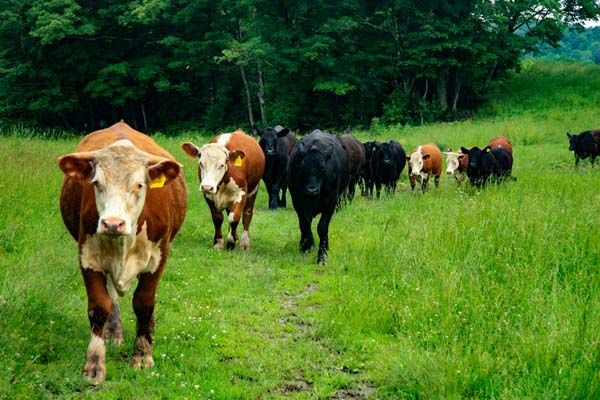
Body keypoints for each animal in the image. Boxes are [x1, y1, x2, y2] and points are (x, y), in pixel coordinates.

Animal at [57, 121, 188, 384]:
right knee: (112, 296)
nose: (112, 223)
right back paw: (113, 331)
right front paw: (94, 363)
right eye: (97, 183)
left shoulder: (158, 258)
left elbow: (144, 304)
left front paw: (143, 355)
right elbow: (99, 306)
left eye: (139, 184)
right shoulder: (87, 257)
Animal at [288, 129, 350, 266]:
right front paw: (306, 247)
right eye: (303, 167)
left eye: (322, 168)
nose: (312, 190)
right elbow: (305, 224)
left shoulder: (331, 202)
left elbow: (322, 227)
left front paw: (322, 255)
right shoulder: (297, 201)